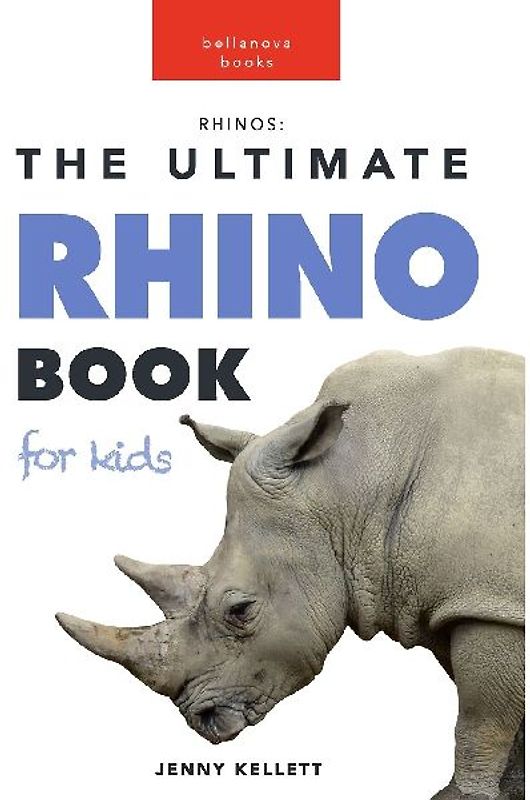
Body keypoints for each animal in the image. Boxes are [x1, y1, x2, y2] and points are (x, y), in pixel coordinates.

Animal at [56, 348, 524, 800]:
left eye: (241, 610)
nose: (203, 720)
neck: (351, 483)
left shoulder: (487, 601)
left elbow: (481, 717)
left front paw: (464, 796)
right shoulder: (461, 597)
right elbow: (507, 709)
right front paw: (512, 788)